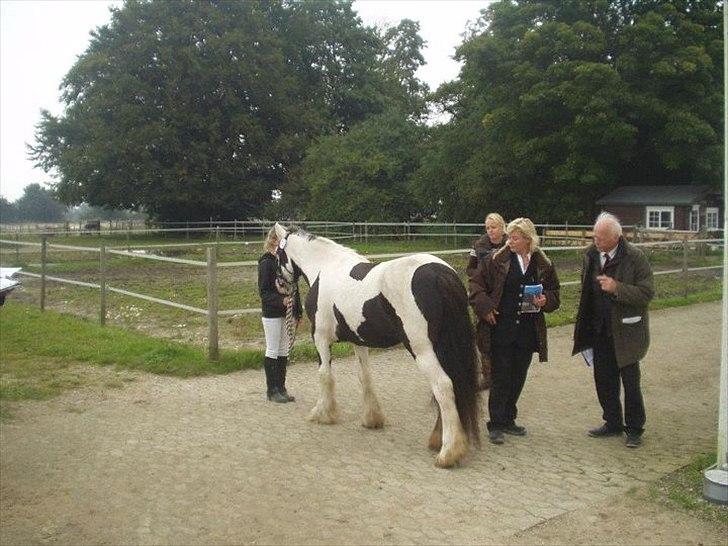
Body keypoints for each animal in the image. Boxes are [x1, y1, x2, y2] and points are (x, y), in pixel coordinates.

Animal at [272, 223, 478, 466]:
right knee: (451, 385)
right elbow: (365, 377)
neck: (325, 268)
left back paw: (448, 453)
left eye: (277, 255)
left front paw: (322, 413)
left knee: (443, 386)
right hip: (442, 347)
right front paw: (372, 419)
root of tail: (440, 273)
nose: (278, 283)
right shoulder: (359, 341)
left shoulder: (320, 338)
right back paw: (439, 441)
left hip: (422, 350)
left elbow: (324, 375)